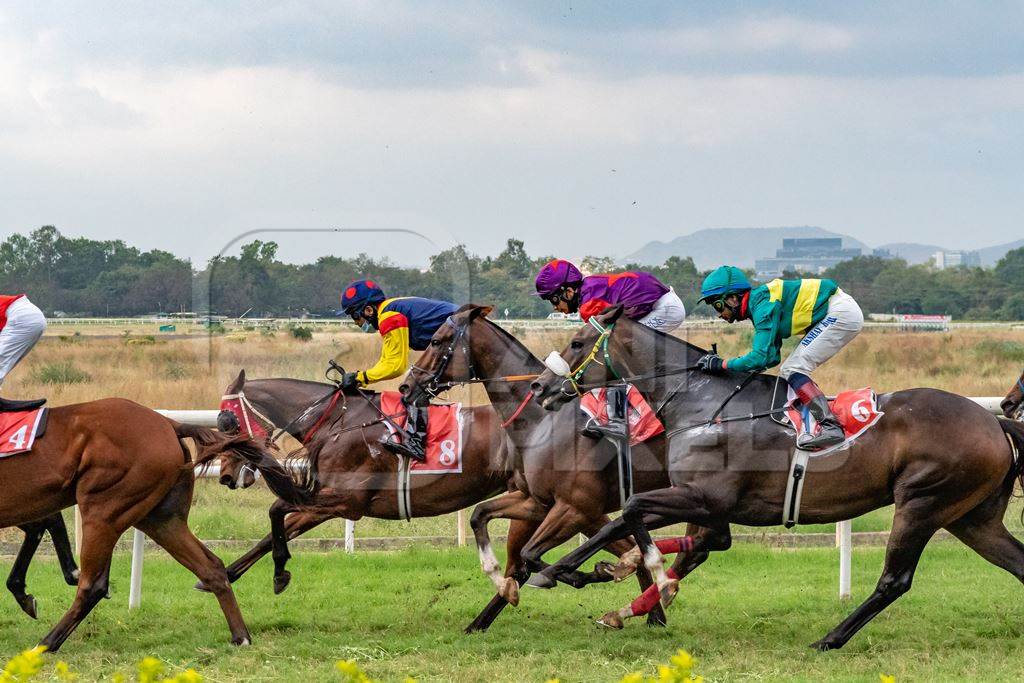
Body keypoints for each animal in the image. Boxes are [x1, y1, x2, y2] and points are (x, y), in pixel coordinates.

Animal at [0, 397, 303, 655]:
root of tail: (169, 424)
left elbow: (44, 525)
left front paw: (33, 590)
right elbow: (41, 525)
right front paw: (25, 592)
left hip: (104, 509)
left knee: (93, 584)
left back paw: (44, 645)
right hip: (161, 519)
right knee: (212, 567)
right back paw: (241, 636)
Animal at [399, 307, 712, 634]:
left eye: (436, 340)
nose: (406, 387)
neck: (540, 420)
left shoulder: (576, 508)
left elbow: (532, 555)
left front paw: (593, 573)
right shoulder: (537, 501)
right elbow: (481, 516)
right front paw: (501, 582)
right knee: (699, 546)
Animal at [528, 305, 1024, 651]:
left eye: (576, 342)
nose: (539, 388)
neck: (700, 402)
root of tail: (993, 422)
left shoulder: (703, 496)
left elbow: (632, 511)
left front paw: (643, 575)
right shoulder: (707, 503)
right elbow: (626, 525)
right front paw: (565, 570)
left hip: (922, 502)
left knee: (894, 580)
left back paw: (828, 639)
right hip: (971, 517)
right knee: (1015, 561)